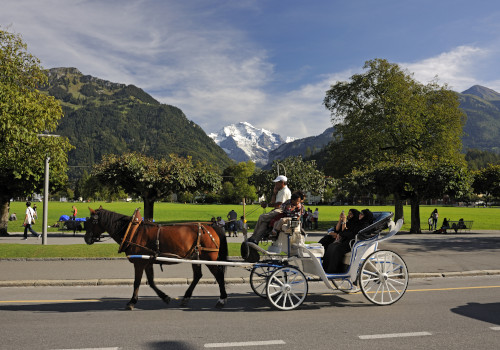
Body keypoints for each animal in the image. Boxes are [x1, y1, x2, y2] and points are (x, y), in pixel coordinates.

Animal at [84, 208, 229, 308]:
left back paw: (222, 299)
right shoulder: (148, 262)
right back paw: (186, 297)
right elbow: (151, 282)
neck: (133, 231)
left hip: (209, 257)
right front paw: (165, 297)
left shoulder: (139, 263)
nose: (86, 238)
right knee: (198, 275)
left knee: (219, 275)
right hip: (196, 257)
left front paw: (132, 301)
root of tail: (211, 226)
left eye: (91, 221)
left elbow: (137, 282)